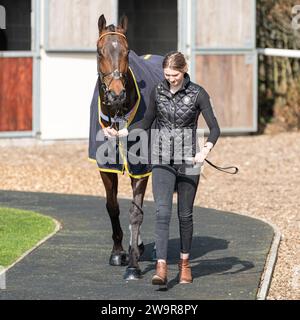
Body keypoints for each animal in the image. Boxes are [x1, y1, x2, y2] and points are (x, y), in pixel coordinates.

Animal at [90, 15, 163, 280]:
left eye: (127, 51)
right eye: (99, 52)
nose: (116, 94)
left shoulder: (140, 165)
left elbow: (136, 212)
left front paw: (132, 265)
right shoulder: (105, 165)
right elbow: (112, 207)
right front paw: (118, 252)